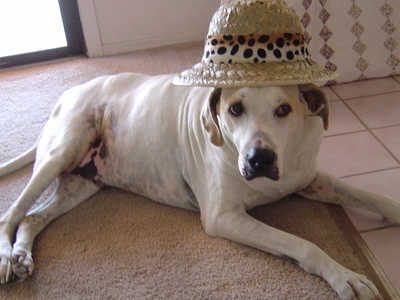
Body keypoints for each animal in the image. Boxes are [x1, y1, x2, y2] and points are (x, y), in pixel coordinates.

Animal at [0, 72, 396, 298]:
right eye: (235, 109)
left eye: (284, 110)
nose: (259, 159)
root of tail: (69, 93)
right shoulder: (224, 217)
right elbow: (304, 244)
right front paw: (344, 276)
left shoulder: (311, 179)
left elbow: (368, 195)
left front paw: (392, 208)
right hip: (62, 150)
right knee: (12, 213)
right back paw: (7, 257)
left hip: (81, 184)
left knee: (33, 217)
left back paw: (22, 255)